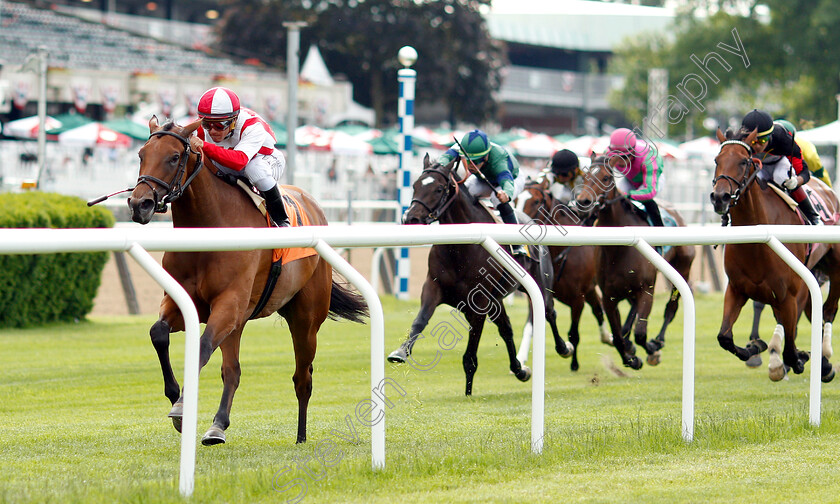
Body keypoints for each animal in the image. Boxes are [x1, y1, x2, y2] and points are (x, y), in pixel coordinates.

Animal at [127, 117, 368, 444]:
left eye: (174, 157)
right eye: (141, 154)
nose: (139, 204)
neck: (210, 230)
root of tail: (313, 204)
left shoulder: (229, 304)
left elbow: (202, 347)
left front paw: (181, 406)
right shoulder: (188, 304)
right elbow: (158, 333)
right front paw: (176, 398)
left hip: (305, 320)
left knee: (302, 378)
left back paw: (299, 437)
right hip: (241, 322)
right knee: (233, 370)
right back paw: (219, 424)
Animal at [384, 154, 568, 394]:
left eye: (439, 188)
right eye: (415, 185)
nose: (411, 218)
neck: (460, 247)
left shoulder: (479, 302)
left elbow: (470, 353)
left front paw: (468, 391)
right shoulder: (433, 287)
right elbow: (420, 320)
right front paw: (400, 352)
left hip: (538, 281)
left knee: (548, 311)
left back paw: (563, 348)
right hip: (497, 299)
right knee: (506, 328)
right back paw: (519, 369)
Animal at [572, 154, 696, 370]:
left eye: (606, 178)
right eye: (585, 176)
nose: (583, 202)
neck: (618, 249)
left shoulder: (646, 290)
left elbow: (640, 333)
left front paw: (651, 350)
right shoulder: (609, 297)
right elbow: (617, 337)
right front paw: (631, 358)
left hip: (683, 268)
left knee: (671, 308)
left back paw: (658, 340)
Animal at [708, 128, 840, 380]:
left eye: (743, 161)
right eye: (717, 160)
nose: (720, 197)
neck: (756, 244)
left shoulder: (788, 295)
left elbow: (790, 349)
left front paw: (797, 359)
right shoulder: (737, 289)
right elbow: (724, 337)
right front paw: (755, 347)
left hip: (833, 267)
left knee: (828, 310)